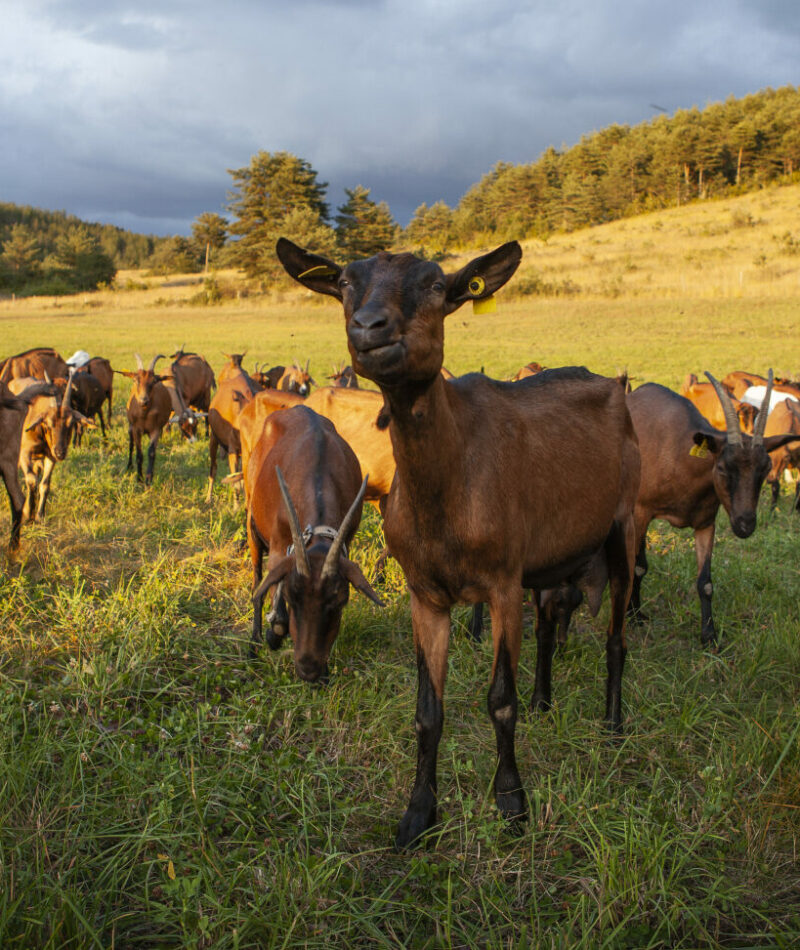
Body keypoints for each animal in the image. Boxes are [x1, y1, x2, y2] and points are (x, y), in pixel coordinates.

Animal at [118, 354, 172, 485]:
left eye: (154, 381)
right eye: (135, 380)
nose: (144, 400)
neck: (145, 414)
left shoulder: (156, 429)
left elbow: (151, 452)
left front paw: (148, 478)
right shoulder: (137, 429)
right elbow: (139, 454)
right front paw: (139, 477)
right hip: (130, 427)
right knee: (131, 443)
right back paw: (129, 466)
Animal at [246, 405, 382, 677]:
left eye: (340, 601)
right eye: (292, 598)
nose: (308, 670)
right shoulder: (279, 546)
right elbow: (277, 611)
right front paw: (272, 636)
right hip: (251, 522)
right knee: (257, 584)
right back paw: (254, 643)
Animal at [278, 236, 640, 849]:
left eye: (434, 285)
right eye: (345, 282)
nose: (368, 327)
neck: (447, 490)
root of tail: (613, 385)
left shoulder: (502, 582)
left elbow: (499, 700)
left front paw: (512, 801)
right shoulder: (426, 593)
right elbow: (428, 708)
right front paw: (419, 812)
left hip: (623, 523)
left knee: (616, 634)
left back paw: (613, 727)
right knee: (549, 625)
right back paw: (546, 701)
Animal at [626, 373, 798, 646]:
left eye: (764, 469)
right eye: (723, 468)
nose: (745, 525)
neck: (680, 456)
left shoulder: (706, 522)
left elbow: (705, 582)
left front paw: (709, 635)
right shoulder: (642, 511)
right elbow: (636, 566)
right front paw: (633, 616)